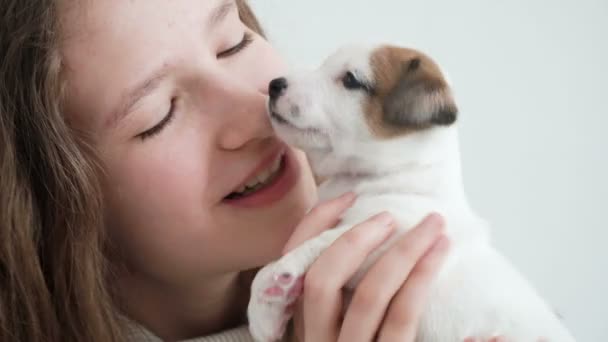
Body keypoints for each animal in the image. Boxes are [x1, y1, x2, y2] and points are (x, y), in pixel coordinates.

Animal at [246, 44, 576, 342]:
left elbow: (324, 242)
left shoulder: (394, 230)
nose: (274, 84)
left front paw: (276, 280)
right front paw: (267, 314)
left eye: (350, 79)